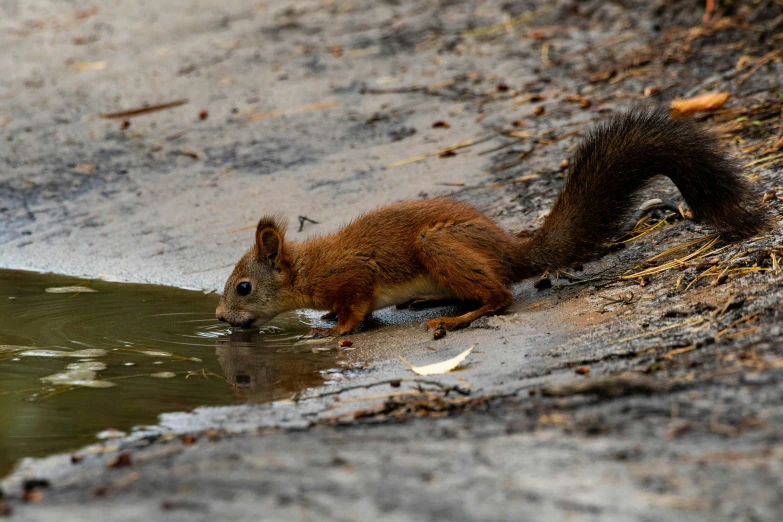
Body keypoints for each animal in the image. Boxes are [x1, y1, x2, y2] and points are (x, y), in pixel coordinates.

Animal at [214, 108, 772, 338]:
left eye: (243, 287)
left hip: (438, 245)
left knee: (500, 295)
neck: (309, 270)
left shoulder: (353, 277)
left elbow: (356, 308)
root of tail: (511, 249)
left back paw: (456, 318)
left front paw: (334, 329)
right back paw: (433, 301)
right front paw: (328, 321)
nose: (219, 319)